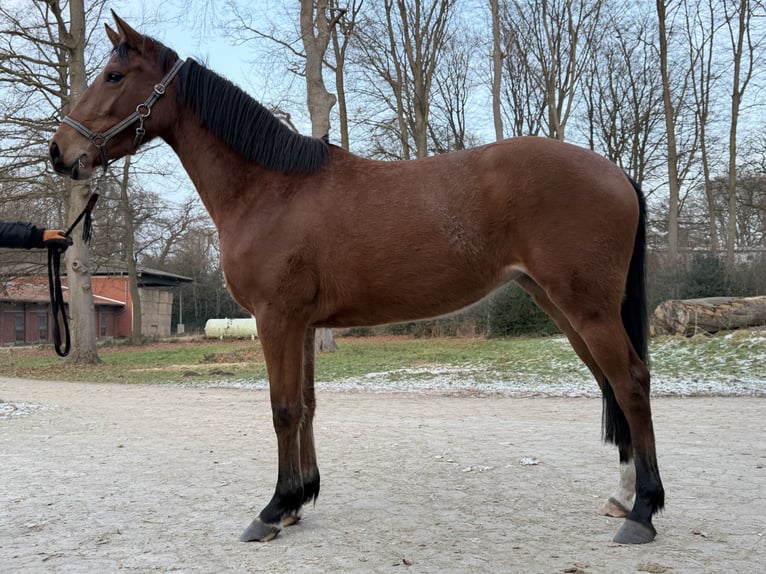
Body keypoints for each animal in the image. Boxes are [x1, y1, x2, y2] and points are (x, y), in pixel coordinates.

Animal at [49, 13, 664, 545]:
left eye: (114, 76)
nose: (60, 151)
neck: (271, 188)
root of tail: (615, 172)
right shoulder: (302, 324)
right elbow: (306, 405)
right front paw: (299, 499)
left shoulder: (277, 318)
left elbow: (283, 408)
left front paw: (272, 510)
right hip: (562, 306)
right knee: (610, 384)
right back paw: (623, 496)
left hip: (586, 307)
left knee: (631, 382)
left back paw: (643, 513)